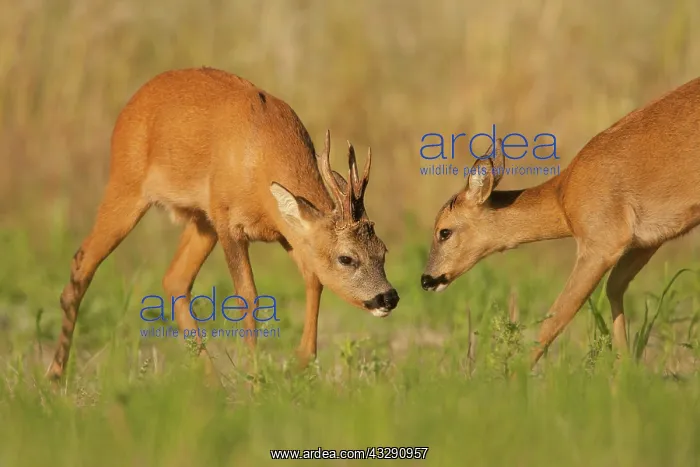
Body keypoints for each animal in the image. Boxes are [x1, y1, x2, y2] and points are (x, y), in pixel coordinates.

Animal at [47, 67, 399, 381]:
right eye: (347, 257)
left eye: (383, 251)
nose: (388, 297)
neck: (260, 156)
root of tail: (130, 106)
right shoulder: (229, 223)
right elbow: (248, 297)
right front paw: (256, 381)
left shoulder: (283, 231)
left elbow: (313, 278)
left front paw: (301, 366)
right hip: (127, 184)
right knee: (82, 263)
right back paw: (55, 376)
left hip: (201, 219)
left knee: (174, 279)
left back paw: (212, 382)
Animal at [421, 76, 700, 367]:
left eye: (444, 231)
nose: (427, 279)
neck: (563, 196)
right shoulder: (645, 244)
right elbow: (614, 288)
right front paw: (626, 368)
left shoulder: (601, 245)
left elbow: (555, 317)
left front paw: (513, 373)